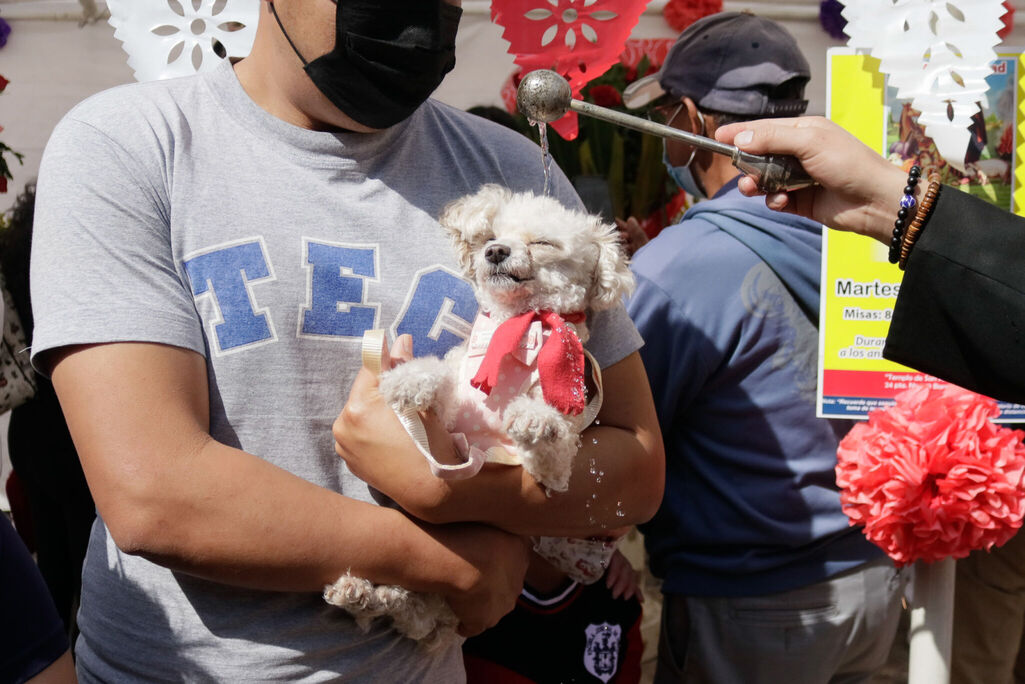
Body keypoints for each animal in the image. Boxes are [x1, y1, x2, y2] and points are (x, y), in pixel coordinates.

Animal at [323, 183, 635, 652]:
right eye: (492, 235)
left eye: (543, 243)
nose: (495, 251)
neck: (521, 329)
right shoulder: (457, 411)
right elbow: (442, 382)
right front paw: (410, 379)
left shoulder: (553, 473)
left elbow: (553, 447)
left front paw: (535, 419)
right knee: (412, 610)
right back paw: (360, 593)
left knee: (418, 614)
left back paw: (367, 597)